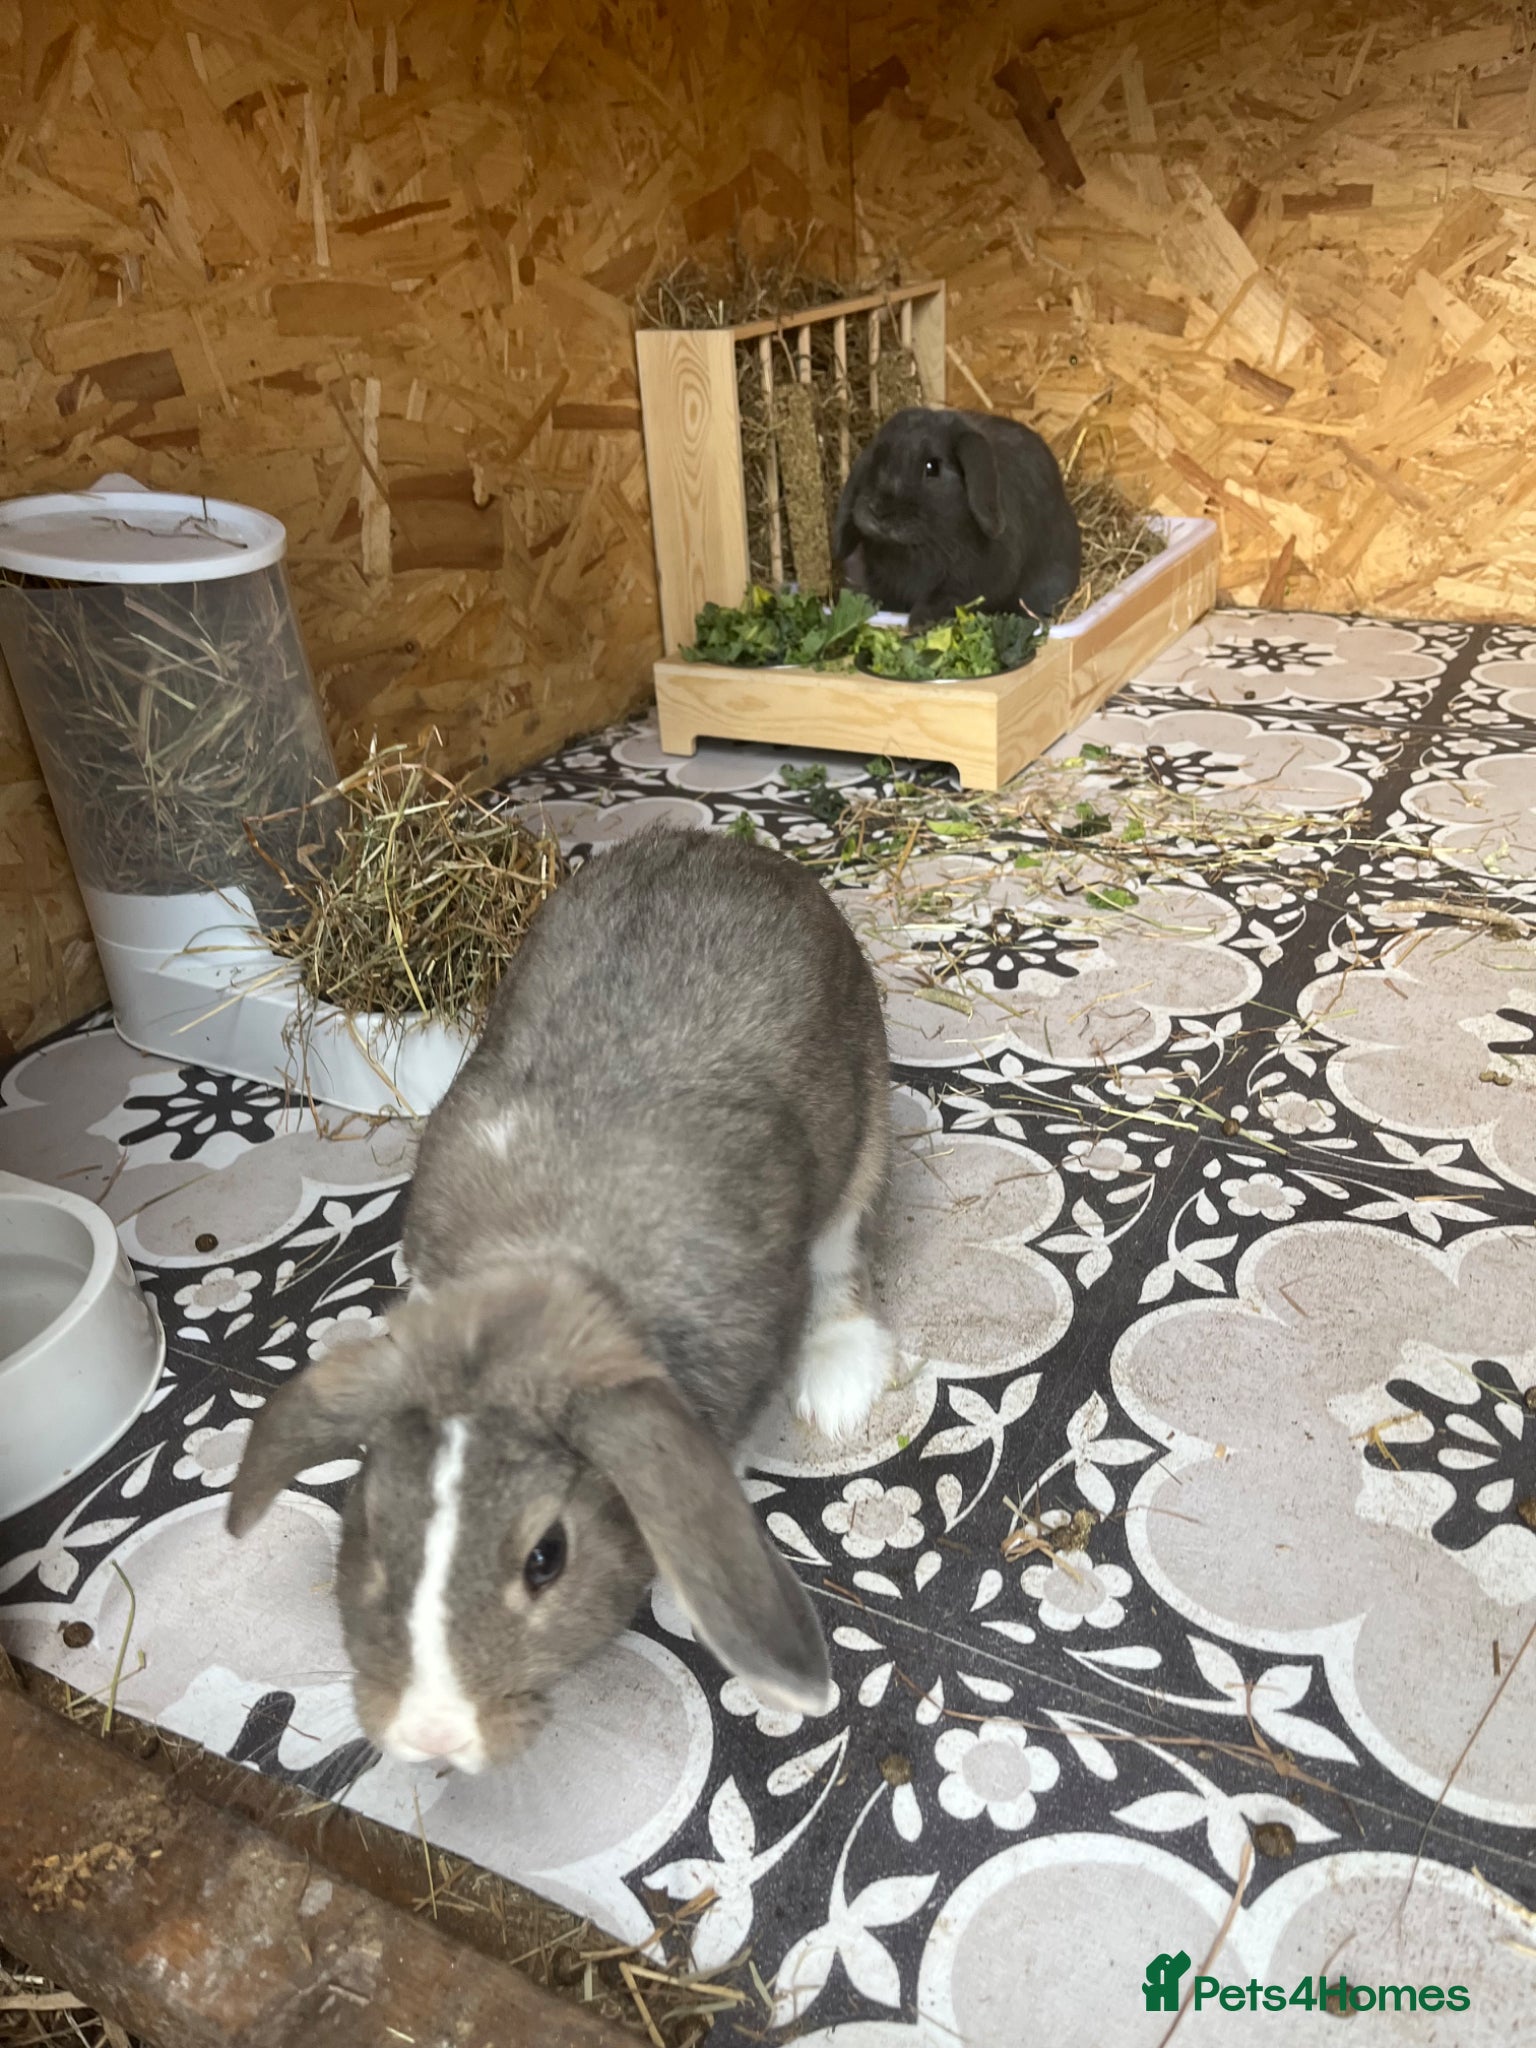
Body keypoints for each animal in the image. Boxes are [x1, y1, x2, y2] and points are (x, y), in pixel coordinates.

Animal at [226, 826, 894, 1774]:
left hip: (864, 1134)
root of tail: (732, 846)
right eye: (373, 1523)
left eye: (547, 1557)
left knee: (847, 1262)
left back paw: (839, 1389)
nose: (431, 1734)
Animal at [833, 405, 1081, 627]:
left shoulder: (973, 580)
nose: (878, 510)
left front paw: (920, 622)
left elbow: (949, 597)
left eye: (932, 467)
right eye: (878, 459)